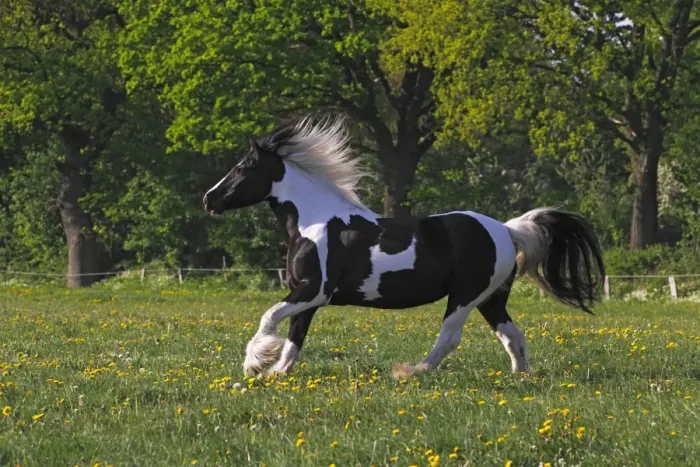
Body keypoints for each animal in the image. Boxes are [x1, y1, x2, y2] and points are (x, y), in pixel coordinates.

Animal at [203, 115, 605, 378]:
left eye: (243, 168)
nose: (209, 199)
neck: (312, 222)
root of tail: (506, 230)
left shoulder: (313, 290)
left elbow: (270, 317)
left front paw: (254, 363)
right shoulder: (307, 297)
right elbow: (294, 338)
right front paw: (274, 373)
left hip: (464, 296)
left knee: (450, 338)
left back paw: (411, 371)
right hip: (490, 298)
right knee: (512, 337)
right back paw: (521, 377)